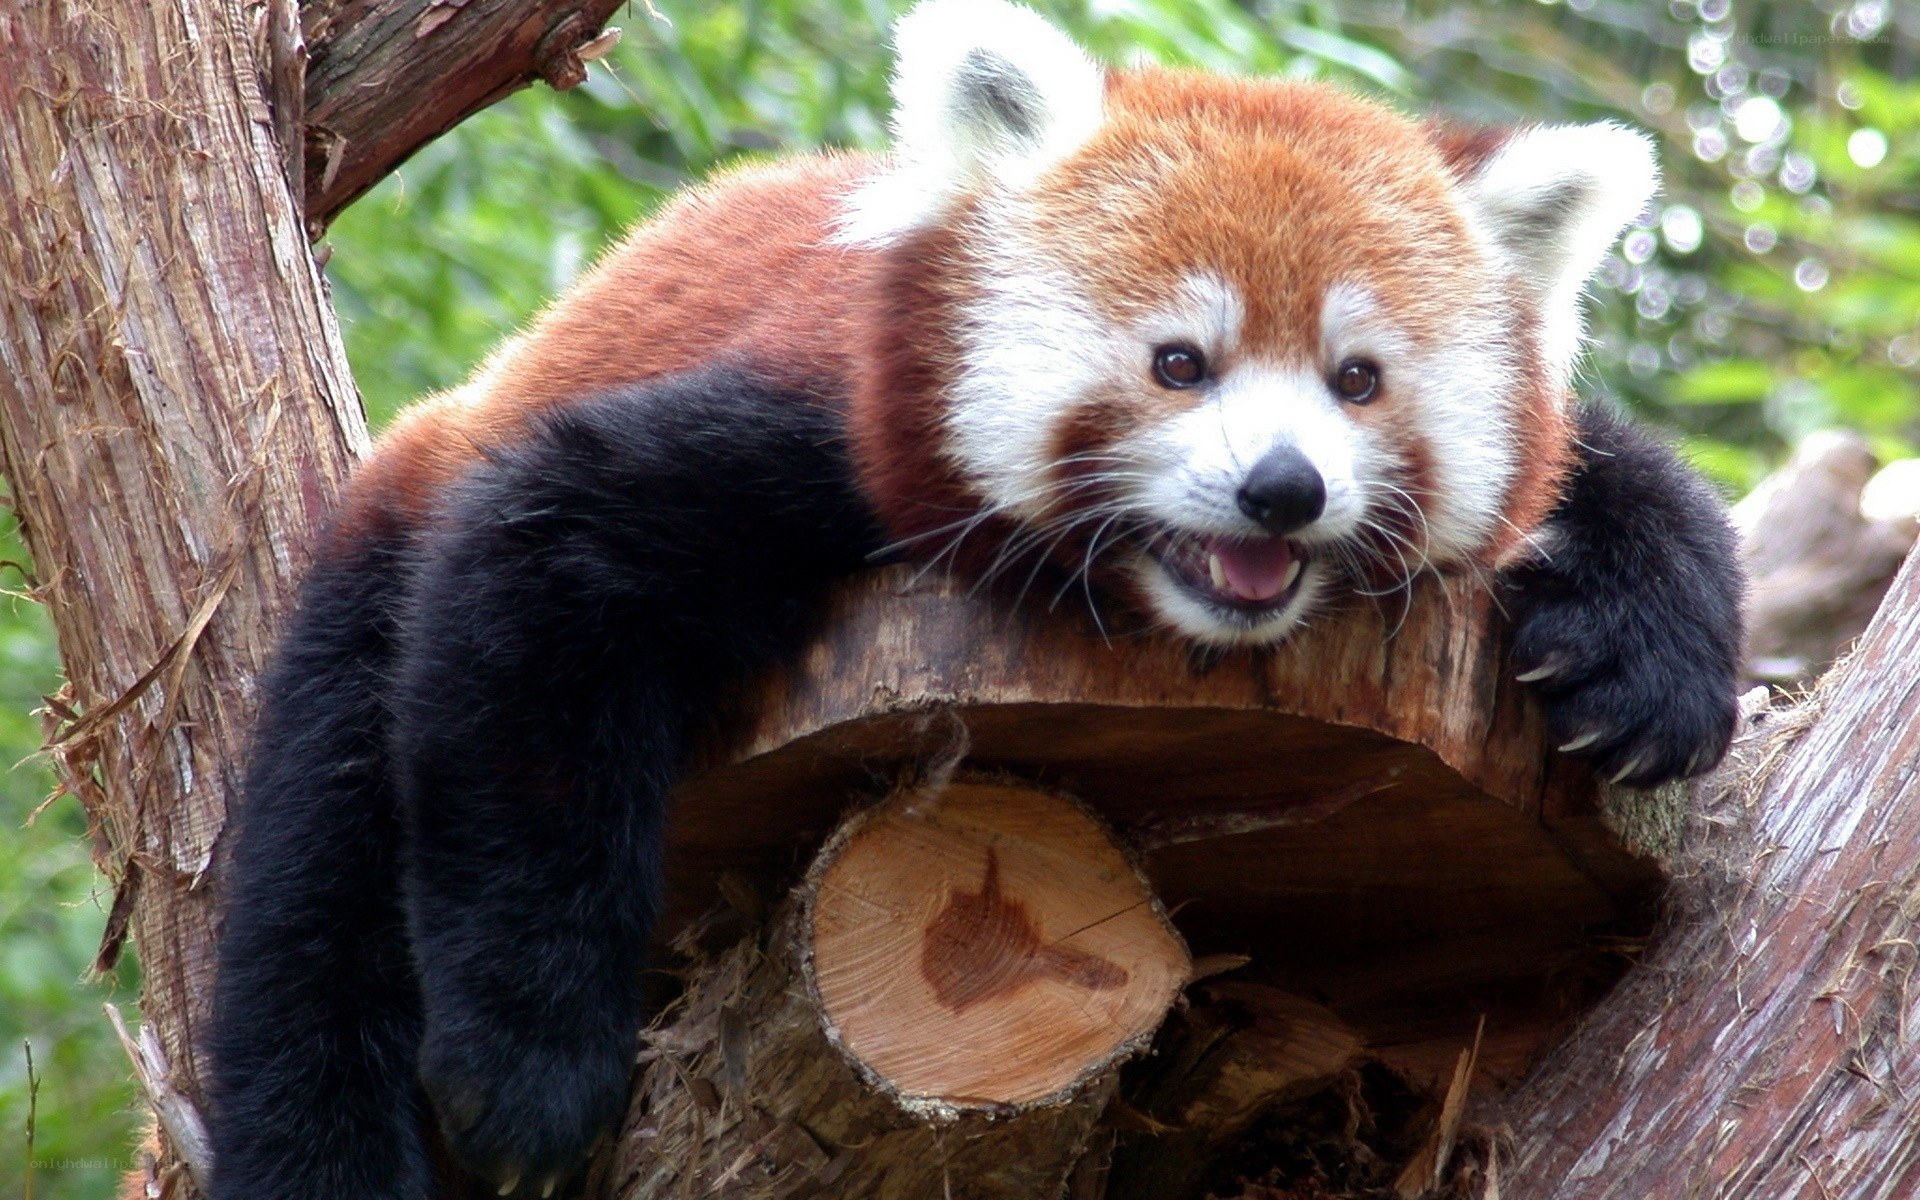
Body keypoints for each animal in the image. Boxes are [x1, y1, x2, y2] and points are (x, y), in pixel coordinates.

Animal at [203, 2, 1743, 1196]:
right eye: (1179, 363)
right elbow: (539, 631)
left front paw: (1650, 666)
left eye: (1357, 380)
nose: (1282, 490)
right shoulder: (809, 430)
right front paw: (527, 1083)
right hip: (389, 550)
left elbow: (1613, 471)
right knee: (317, 883)